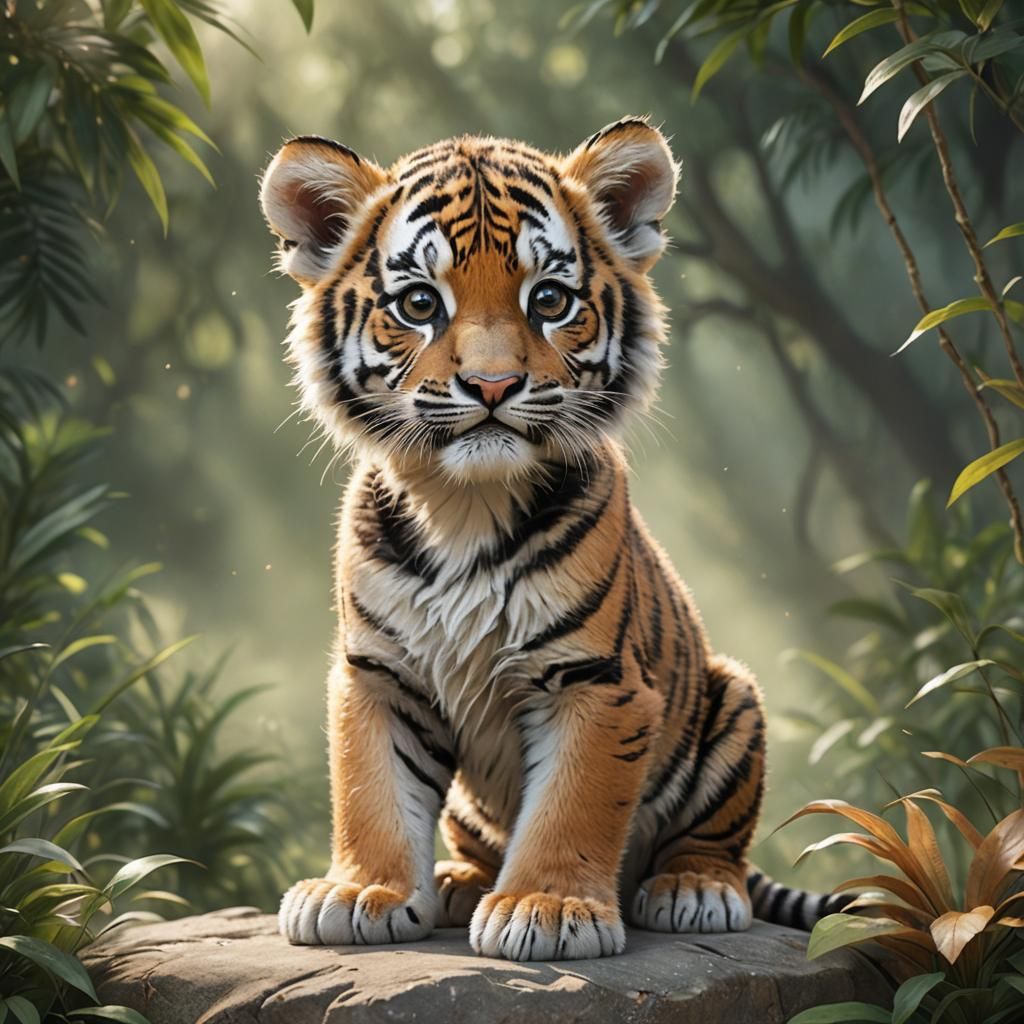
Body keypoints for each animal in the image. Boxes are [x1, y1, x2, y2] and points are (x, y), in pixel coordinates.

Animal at [258, 117, 848, 962]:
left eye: (549, 299)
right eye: (419, 303)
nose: (493, 385)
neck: (464, 505)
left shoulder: (596, 681)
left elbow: (572, 804)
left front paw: (547, 907)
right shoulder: (378, 674)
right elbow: (372, 789)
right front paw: (363, 891)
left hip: (735, 697)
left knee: (714, 845)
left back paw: (693, 890)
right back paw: (456, 883)